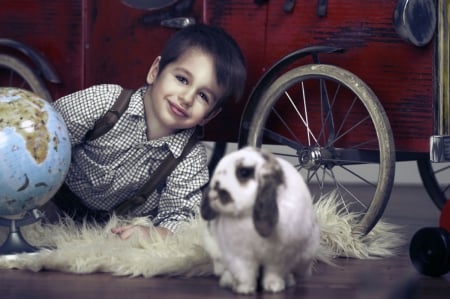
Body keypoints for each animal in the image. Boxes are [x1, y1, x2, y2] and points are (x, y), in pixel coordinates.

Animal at [200, 146, 320, 294]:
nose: (214, 193)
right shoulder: (239, 256)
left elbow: (274, 274)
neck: (247, 216)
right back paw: (228, 281)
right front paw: (244, 290)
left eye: (244, 172)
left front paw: (274, 288)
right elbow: (244, 274)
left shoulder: (279, 258)